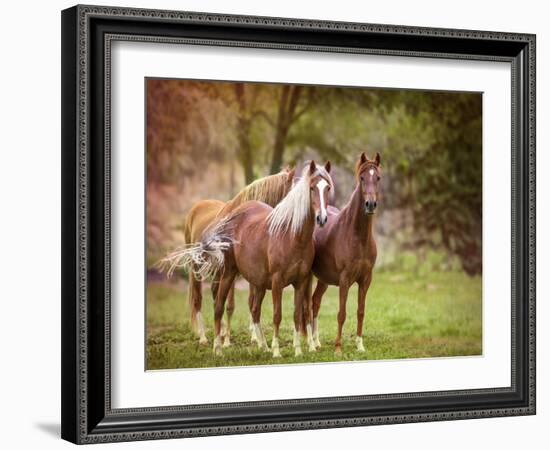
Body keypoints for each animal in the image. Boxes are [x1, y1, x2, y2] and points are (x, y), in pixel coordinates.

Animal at [312, 154, 382, 356]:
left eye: (378, 178)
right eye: (362, 178)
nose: (370, 204)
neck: (357, 236)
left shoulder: (365, 279)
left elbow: (360, 312)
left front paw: (360, 345)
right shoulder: (344, 280)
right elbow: (341, 314)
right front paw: (338, 348)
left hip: (323, 279)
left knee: (315, 301)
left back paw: (316, 342)